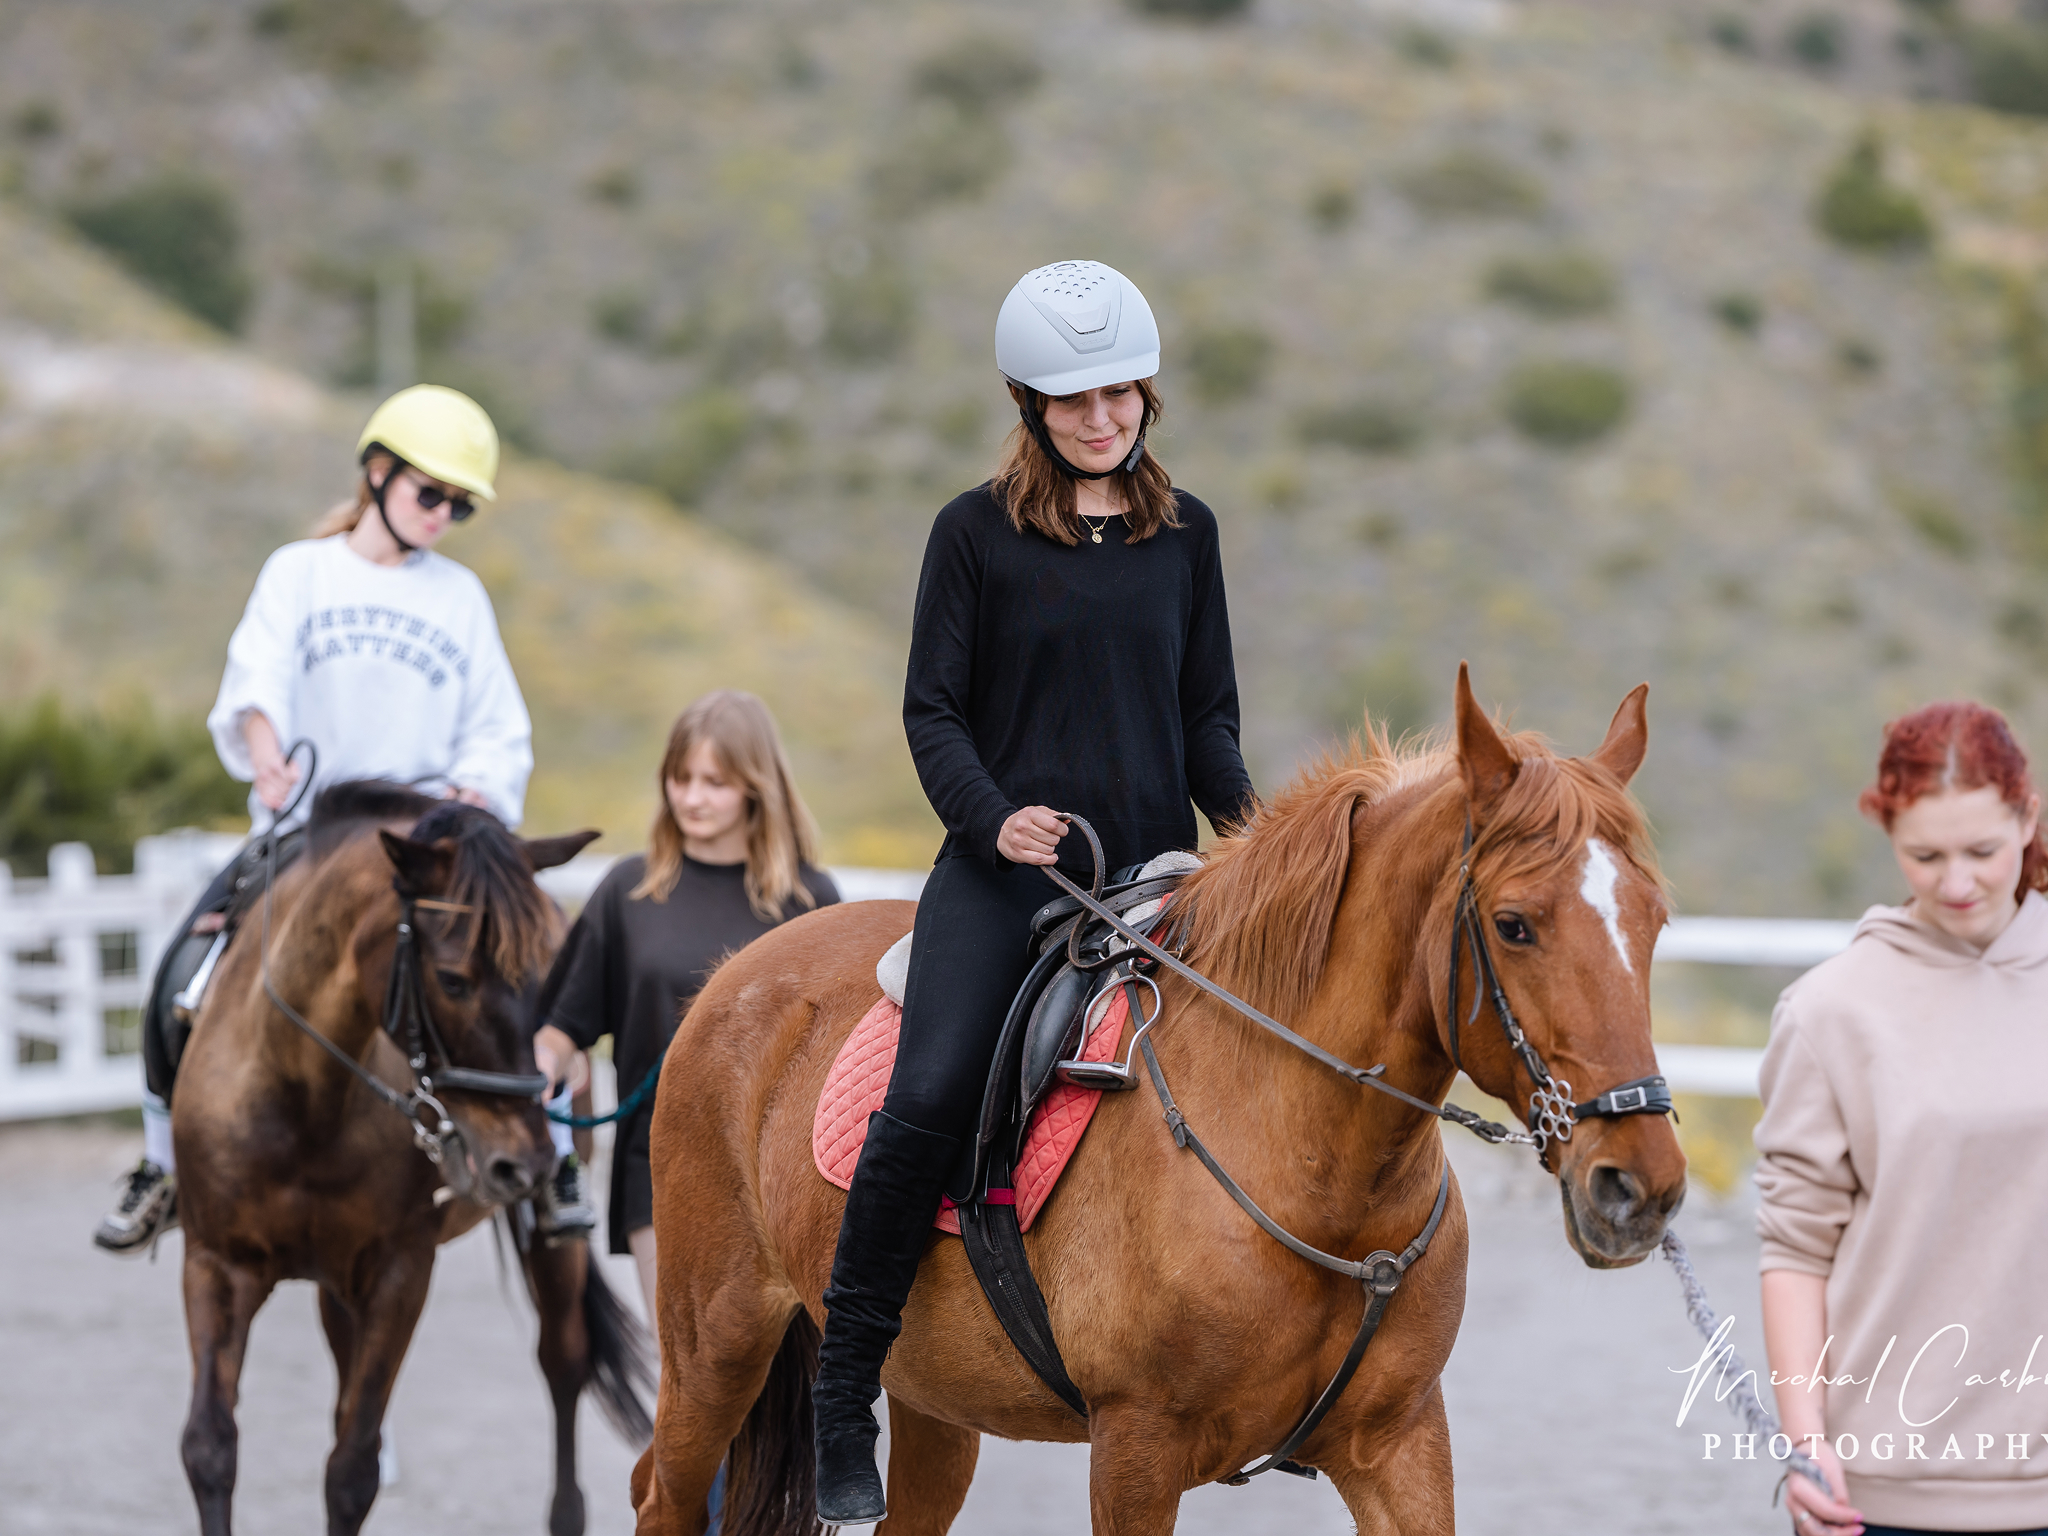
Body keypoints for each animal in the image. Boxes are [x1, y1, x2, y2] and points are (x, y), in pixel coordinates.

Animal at [170, 781, 652, 1536]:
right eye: (452, 981)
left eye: (554, 974)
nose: (523, 1163)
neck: (303, 1094)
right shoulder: (217, 1264)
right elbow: (211, 1447)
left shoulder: (399, 1273)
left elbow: (350, 1471)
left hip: (549, 1244)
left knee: (563, 1361)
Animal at [631, 668, 1687, 1534]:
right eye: (1514, 926)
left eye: (1655, 919)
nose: (1639, 1187)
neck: (1315, 1171)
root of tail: (736, 973)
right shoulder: (1138, 1449)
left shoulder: (1401, 1443)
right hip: (717, 1343)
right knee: (662, 1492)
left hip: (933, 1403)